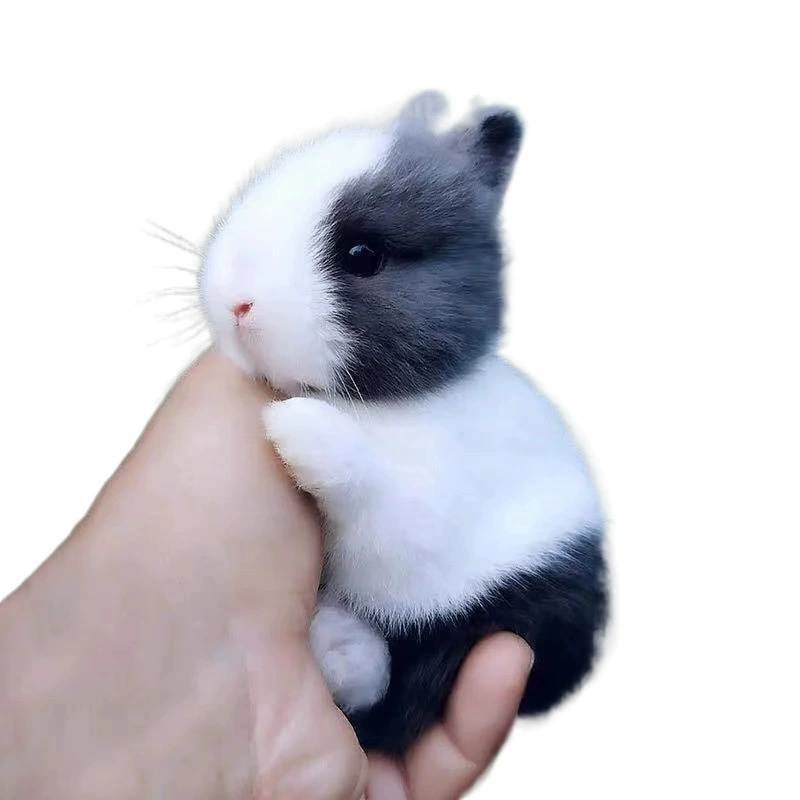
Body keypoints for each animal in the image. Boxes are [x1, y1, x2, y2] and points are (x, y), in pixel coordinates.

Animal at [199, 91, 608, 754]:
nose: (235, 301)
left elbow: (364, 481)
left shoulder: (414, 510)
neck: (391, 402)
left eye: (362, 257)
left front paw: (294, 426)